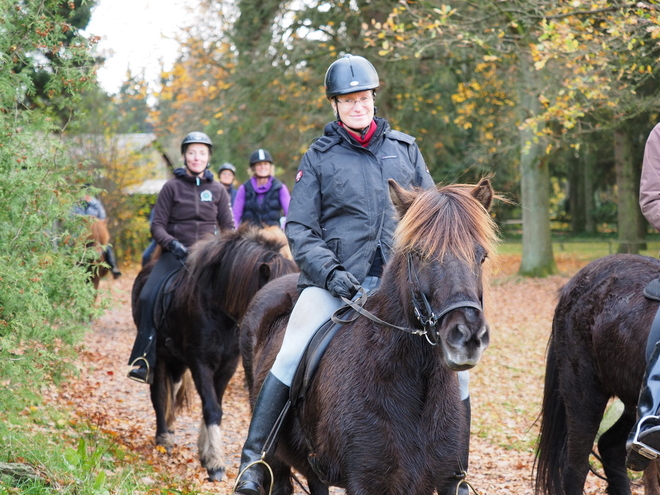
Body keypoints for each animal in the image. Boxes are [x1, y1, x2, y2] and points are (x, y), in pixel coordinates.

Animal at [131, 225, 296, 480]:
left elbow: (214, 405)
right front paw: (215, 462)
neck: (218, 307)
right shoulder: (200, 363)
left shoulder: (227, 365)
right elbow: (211, 407)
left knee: (172, 389)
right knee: (159, 394)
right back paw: (164, 437)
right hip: (159, 357)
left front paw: (208, 454)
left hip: (176, 360)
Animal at [237, 180, 496, 495]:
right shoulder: (366, 482)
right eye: (420, 253)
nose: (468, 336)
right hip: (276, 460)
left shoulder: (432, 479)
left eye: (481, 256)